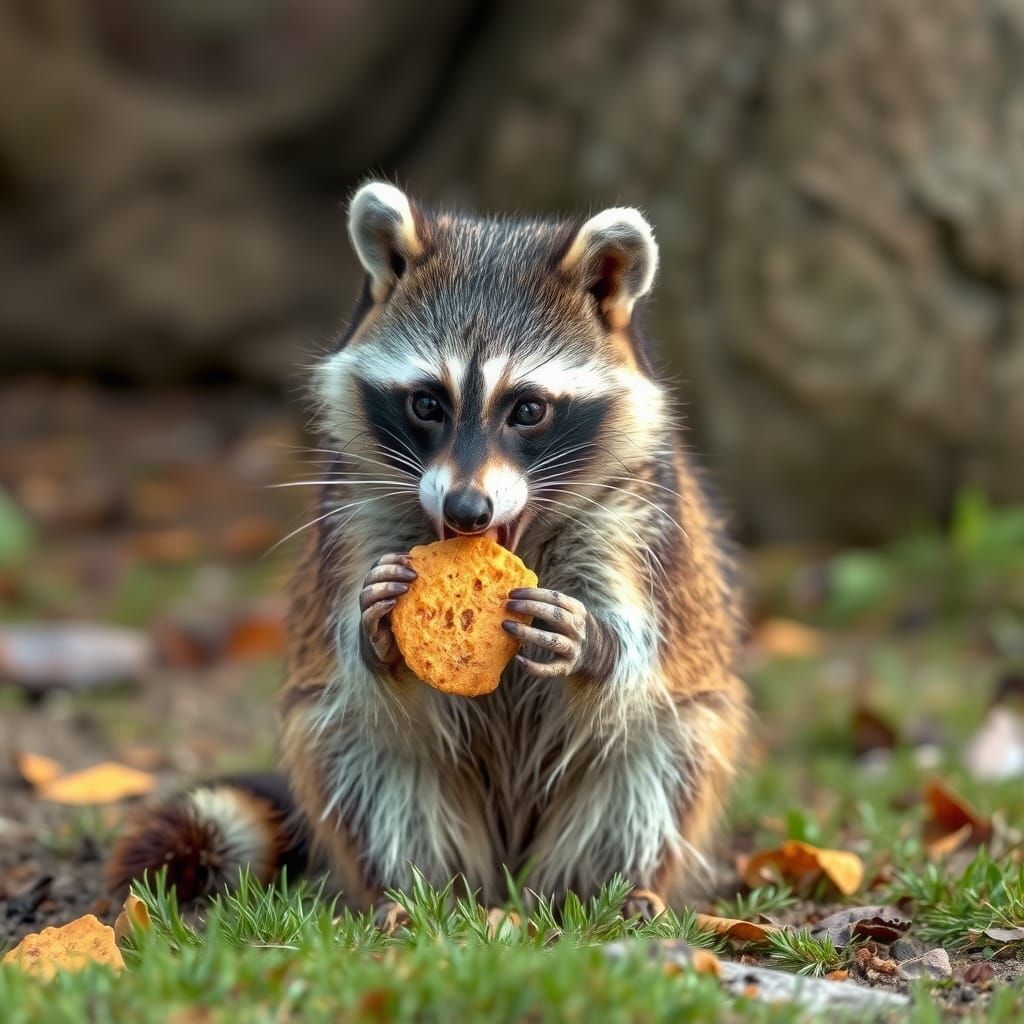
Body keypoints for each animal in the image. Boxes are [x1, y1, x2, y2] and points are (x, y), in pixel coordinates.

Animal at [109, 182, 749, 913]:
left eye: (527, 409)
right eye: (426, 403)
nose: (466, 510)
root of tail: (505, 878)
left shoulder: (636, 521)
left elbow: (642, 665)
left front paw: (594, 645)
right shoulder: (355, 512)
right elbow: (356, 668)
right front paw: (377, 634)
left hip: (663, 752)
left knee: (661, 759)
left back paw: (608, 890)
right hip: (365, 769)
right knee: (359, 758)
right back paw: (410, 890)